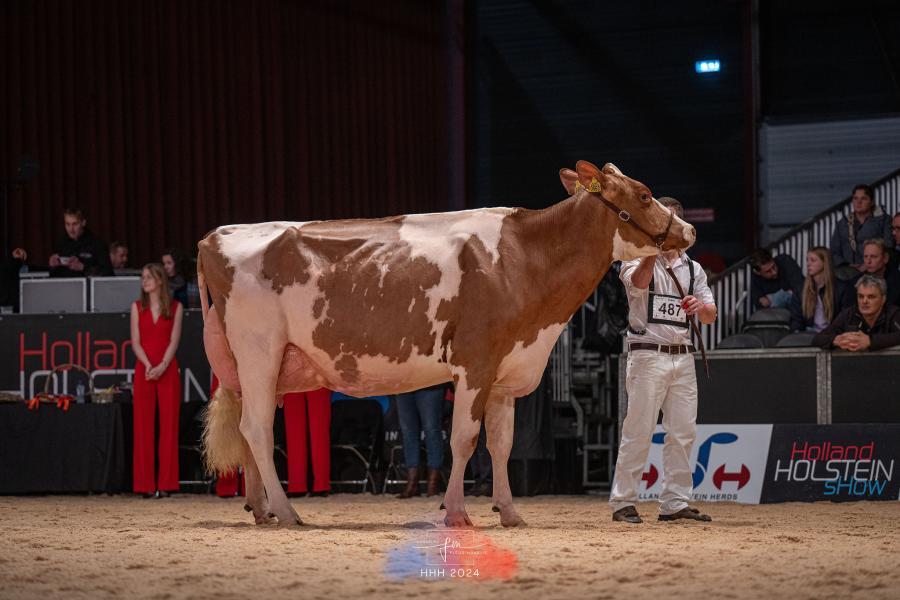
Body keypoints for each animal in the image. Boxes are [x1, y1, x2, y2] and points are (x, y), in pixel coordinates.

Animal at [200, 162, 692, 528]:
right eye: (644, 194)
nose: (688, 231)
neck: (524, 258)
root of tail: (216, 235)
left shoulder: (505, 370)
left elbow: (501, 444)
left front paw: (509, 513)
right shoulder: (476, 361)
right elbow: (463, 439)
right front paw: (456, 514)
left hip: (262, 367)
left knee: (248, 430)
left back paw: (262, 510)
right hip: (259, 351)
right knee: (258, 430)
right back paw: (287, 511)